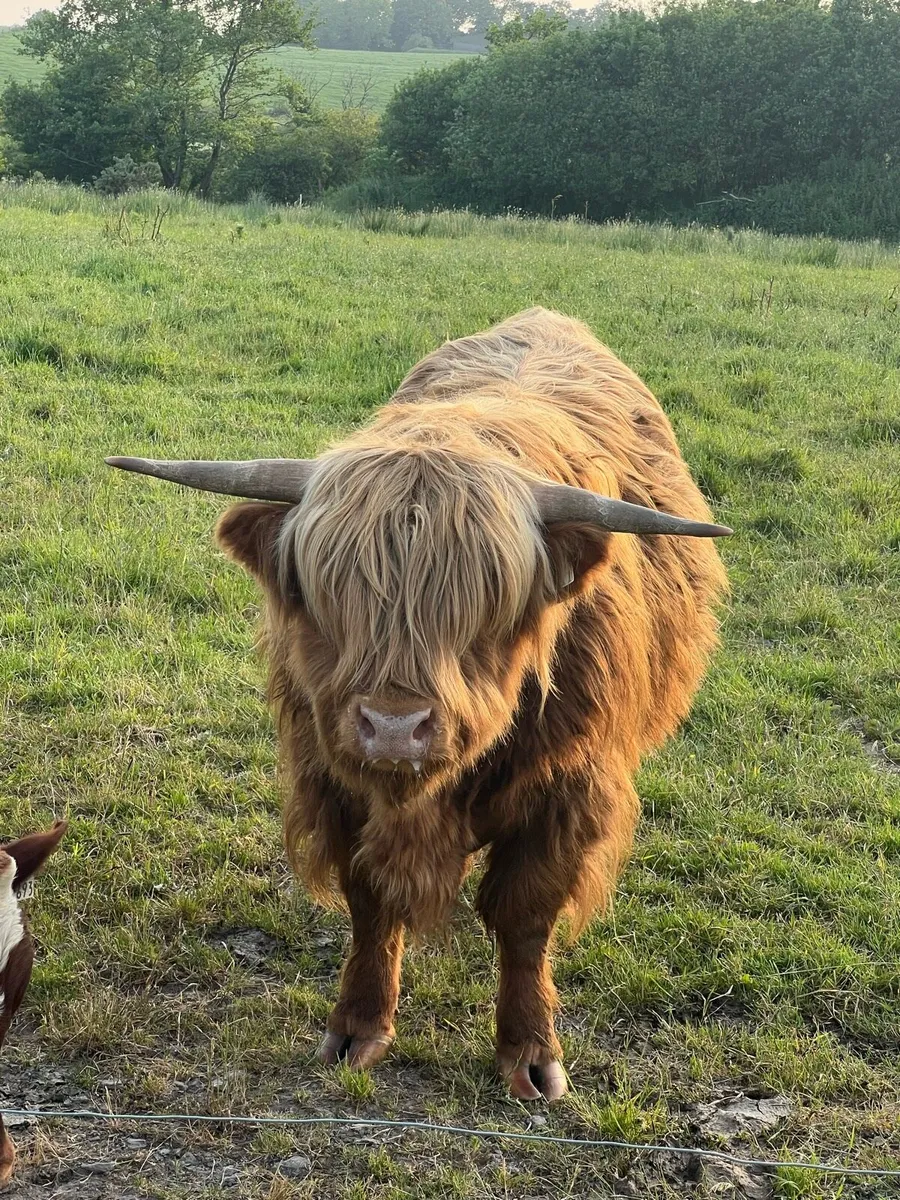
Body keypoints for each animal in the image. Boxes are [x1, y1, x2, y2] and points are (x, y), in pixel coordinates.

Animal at [107, 308, 729, 1101]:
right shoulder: (333, 779)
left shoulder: (568, 788)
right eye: (325, 592)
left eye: (486, 604)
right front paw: (359, 1028)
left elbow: (525, 915)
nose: (395, 728)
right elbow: (370, 901)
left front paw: (530, 1054)